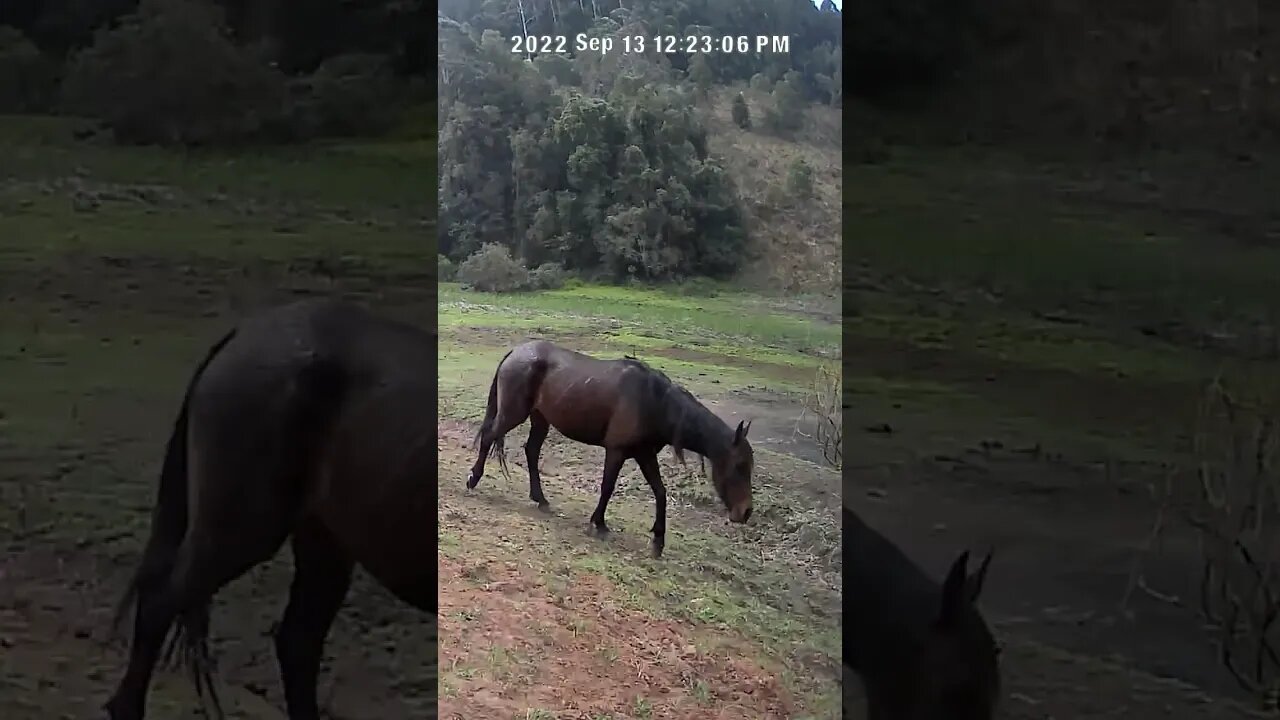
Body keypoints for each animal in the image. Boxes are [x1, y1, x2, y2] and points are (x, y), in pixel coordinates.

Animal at [464, 340, 754, 558]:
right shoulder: (617, 451)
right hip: (514, 413)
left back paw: (540, 499)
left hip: (540, 419)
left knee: (531, 451)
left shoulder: (644, 454)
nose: (746, 512)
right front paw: (599, 524)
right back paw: (473, 479)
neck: (655, 402)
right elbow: (608, 486)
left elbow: (660, 492)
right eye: (740, 466)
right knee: (489, 437)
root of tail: (516, 351)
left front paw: (658, 541)